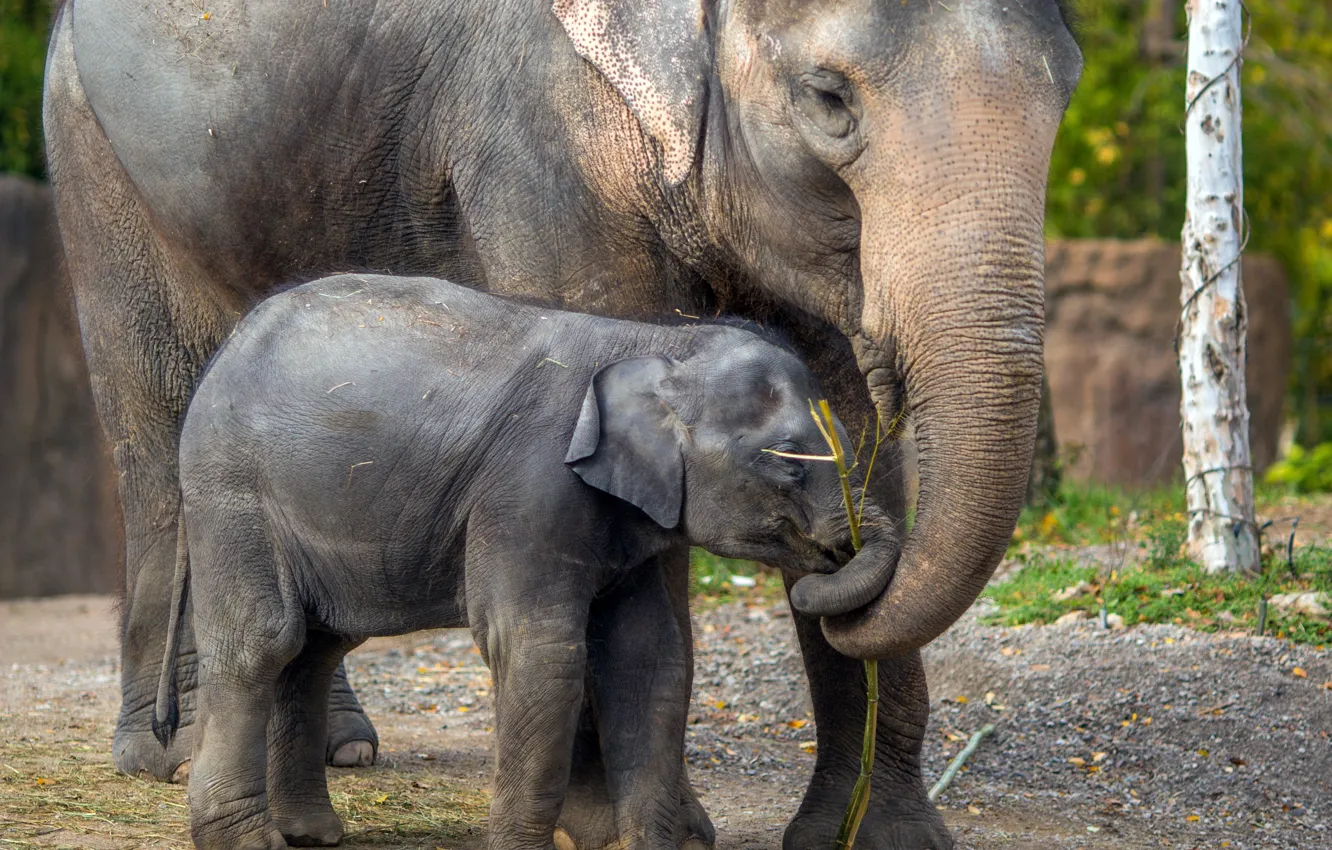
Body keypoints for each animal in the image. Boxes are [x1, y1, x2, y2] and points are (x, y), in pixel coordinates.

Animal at [161, 277, 900, 847]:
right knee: (266, 641)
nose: (834, 554)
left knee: (315, 648)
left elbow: (646, 656)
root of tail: (225, 349)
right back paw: (250, 842)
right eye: (787, 460)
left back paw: (310, 834)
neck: (656, 341)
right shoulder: (529, 488)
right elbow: (540, 652)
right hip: (233, 491)